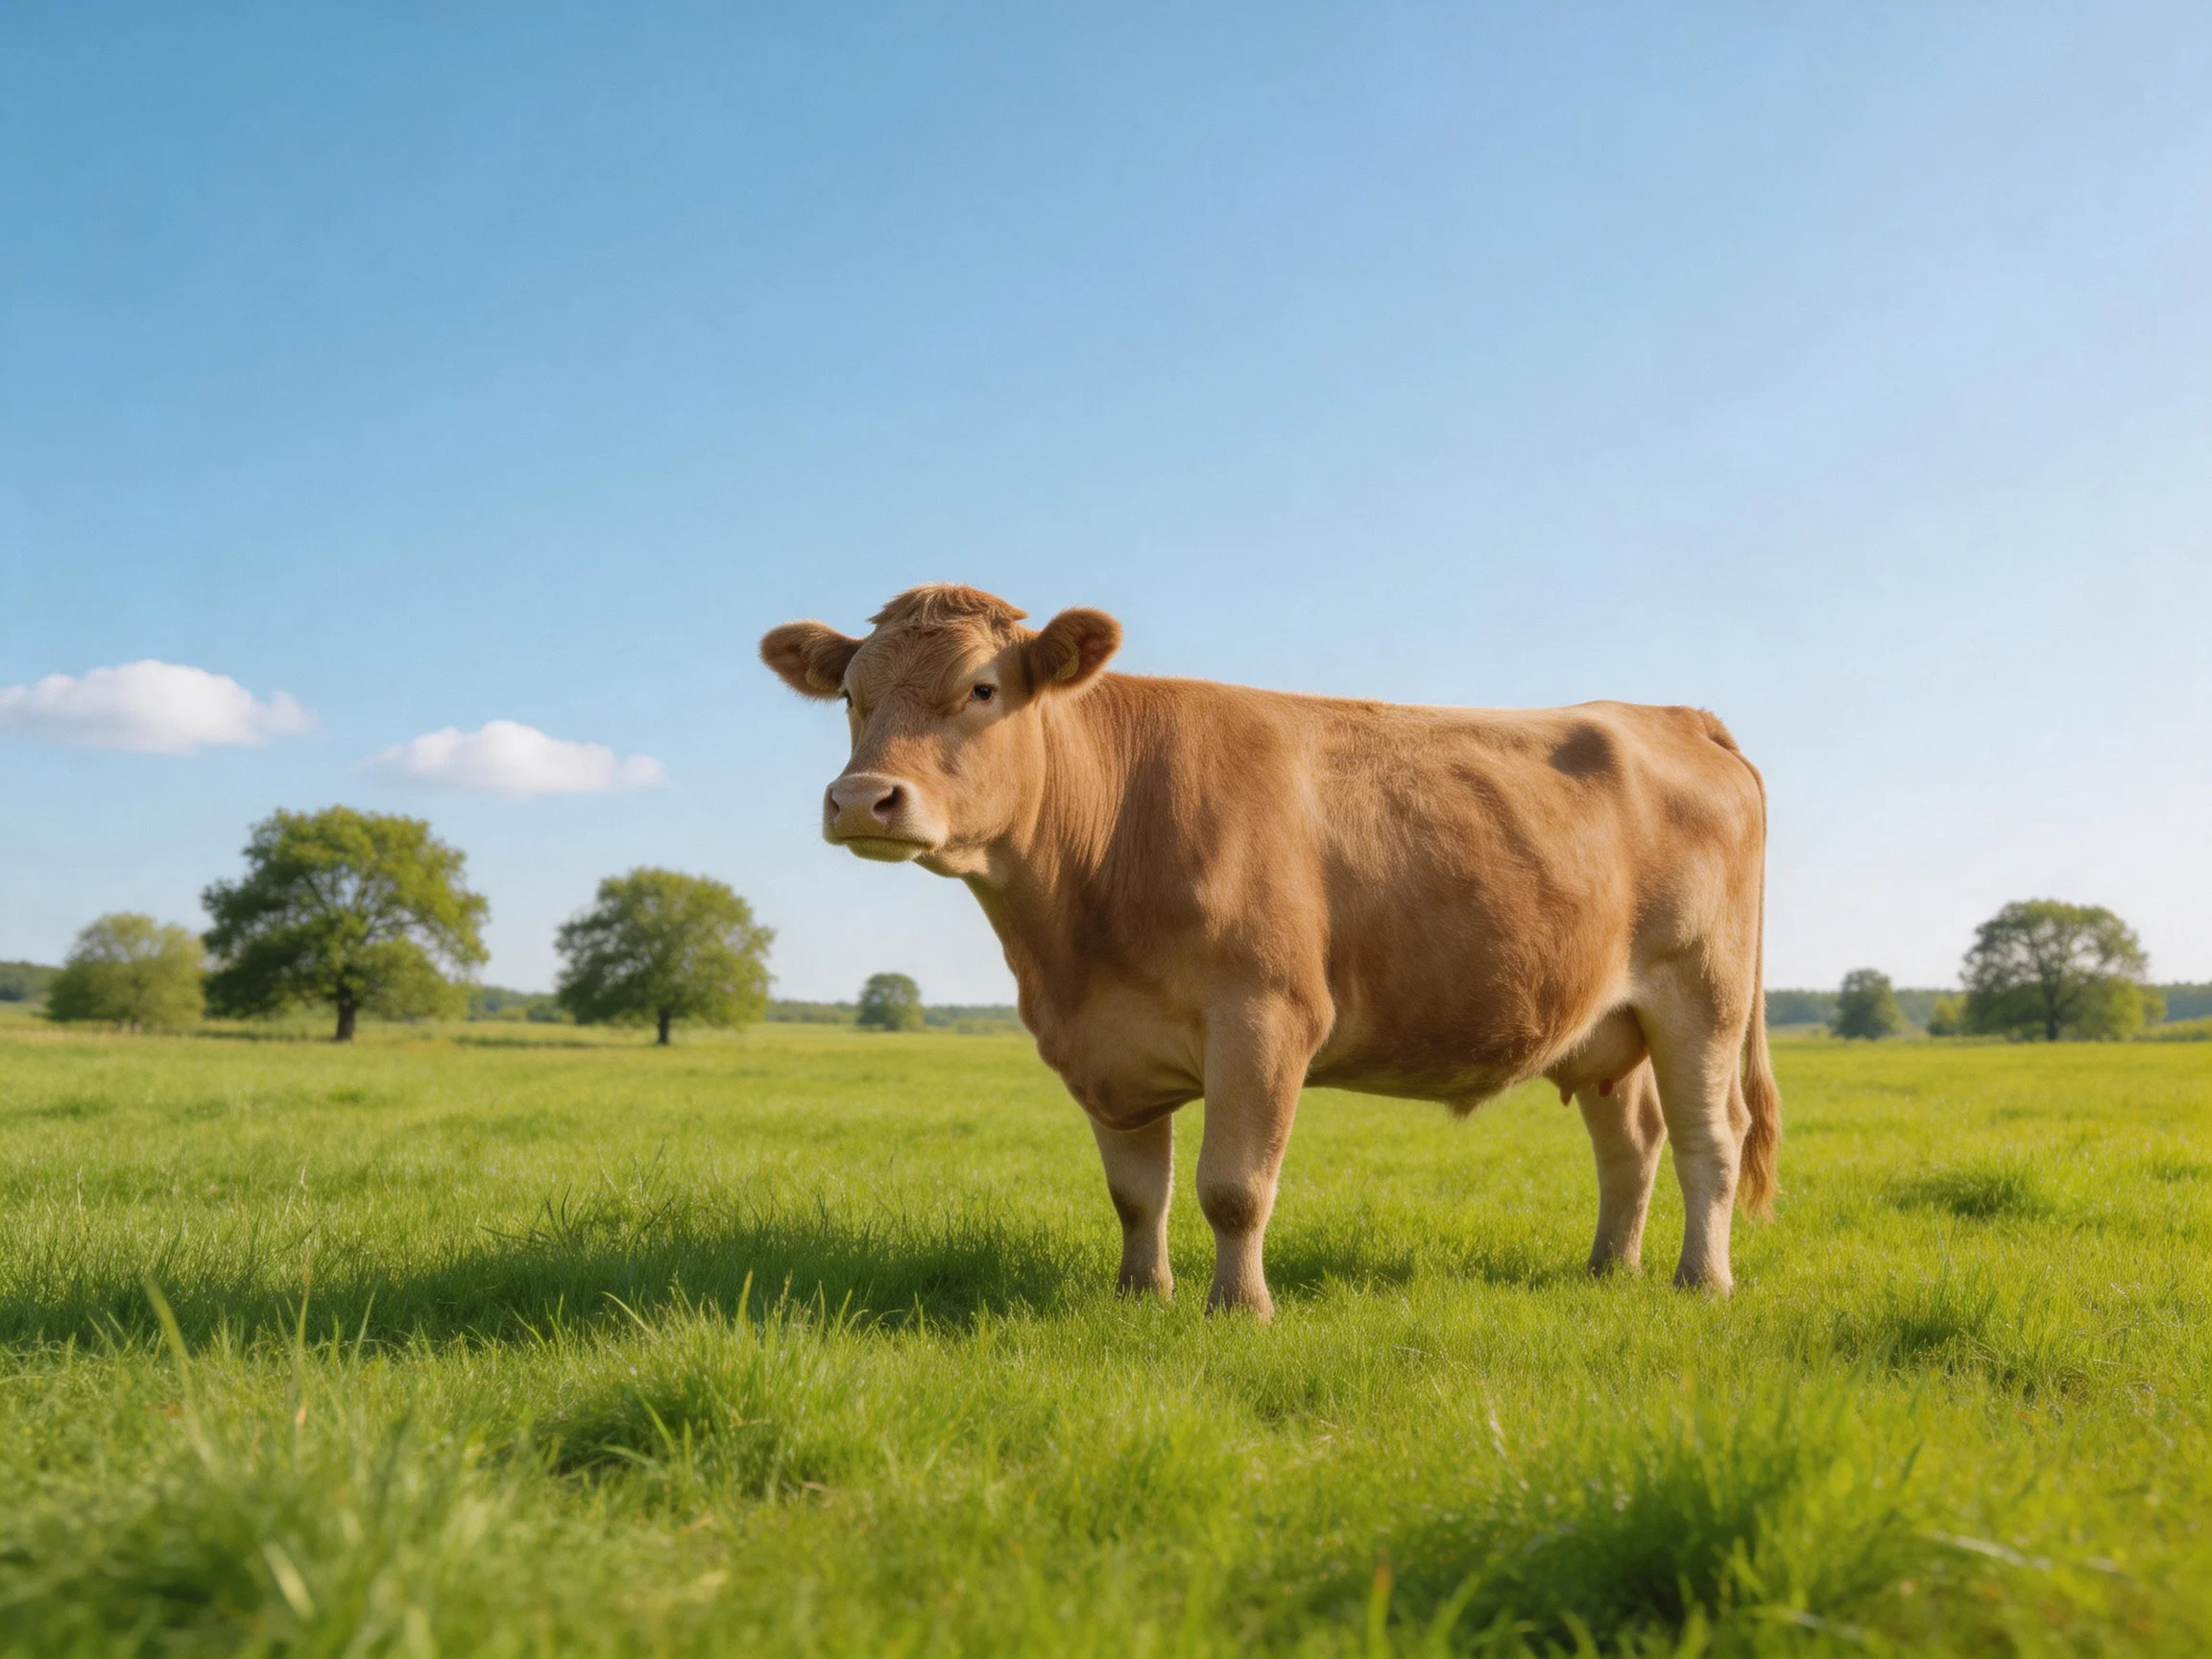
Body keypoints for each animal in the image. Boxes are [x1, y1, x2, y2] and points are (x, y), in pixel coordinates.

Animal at [761, 585, 1779, 1318]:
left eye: (982, 688)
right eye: (849, 696)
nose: (861, 798)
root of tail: (1671, 714)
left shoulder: (1265, 1017)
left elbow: (1234, 1188)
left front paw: (1240, 1309)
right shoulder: (1104, 1042)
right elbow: (1137, 1193)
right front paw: (1140, 1297)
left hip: (1703, 994)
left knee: (1710, 1137)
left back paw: (1703, 1282)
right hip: (1610, 1022)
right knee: (1633, 1142)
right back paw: (1611, 1270)